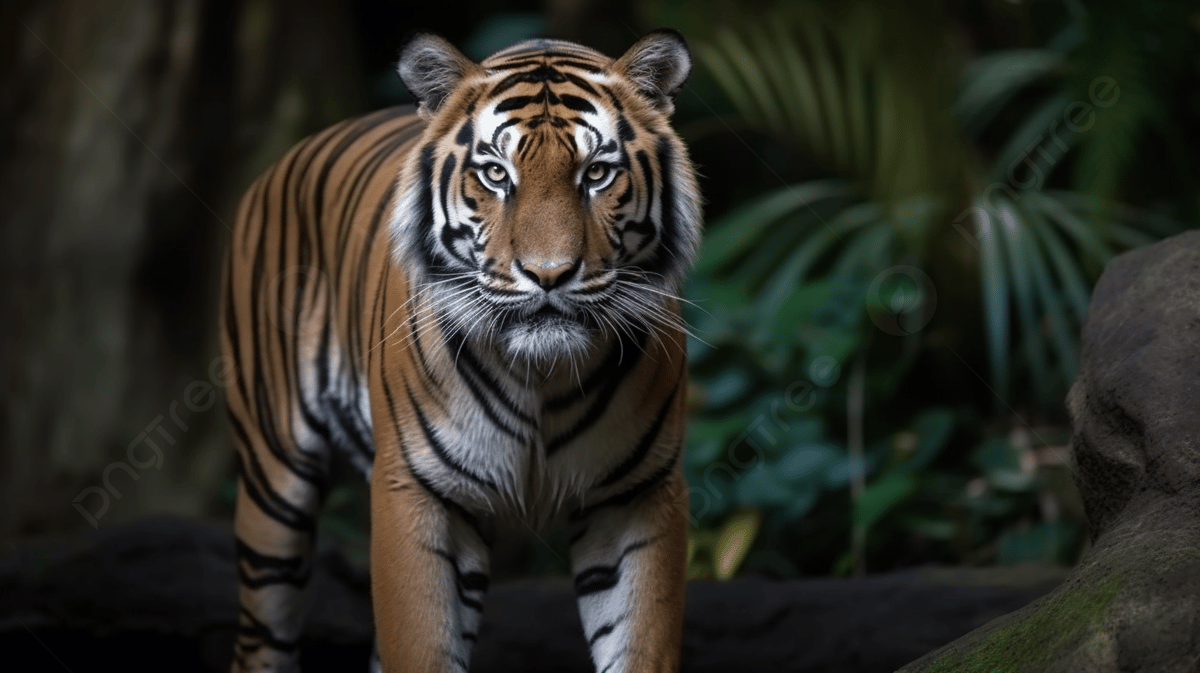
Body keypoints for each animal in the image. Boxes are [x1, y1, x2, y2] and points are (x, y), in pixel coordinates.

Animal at [220, 27, 700, 671]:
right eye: (496, 174)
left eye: (597, 173)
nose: (548, 274)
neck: (541, 374)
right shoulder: (416, 490)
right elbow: (419, 644)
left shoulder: (640, 495)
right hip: (273, 484)